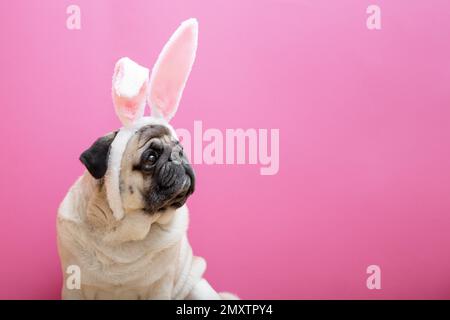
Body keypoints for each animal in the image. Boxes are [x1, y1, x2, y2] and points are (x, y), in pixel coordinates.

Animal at [58, 19, 237, 300]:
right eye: (151, 157)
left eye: (180, 148)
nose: (177, 158)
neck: (124, 232)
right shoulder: (73, 285)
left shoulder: (159, 286)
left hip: (199, 288)